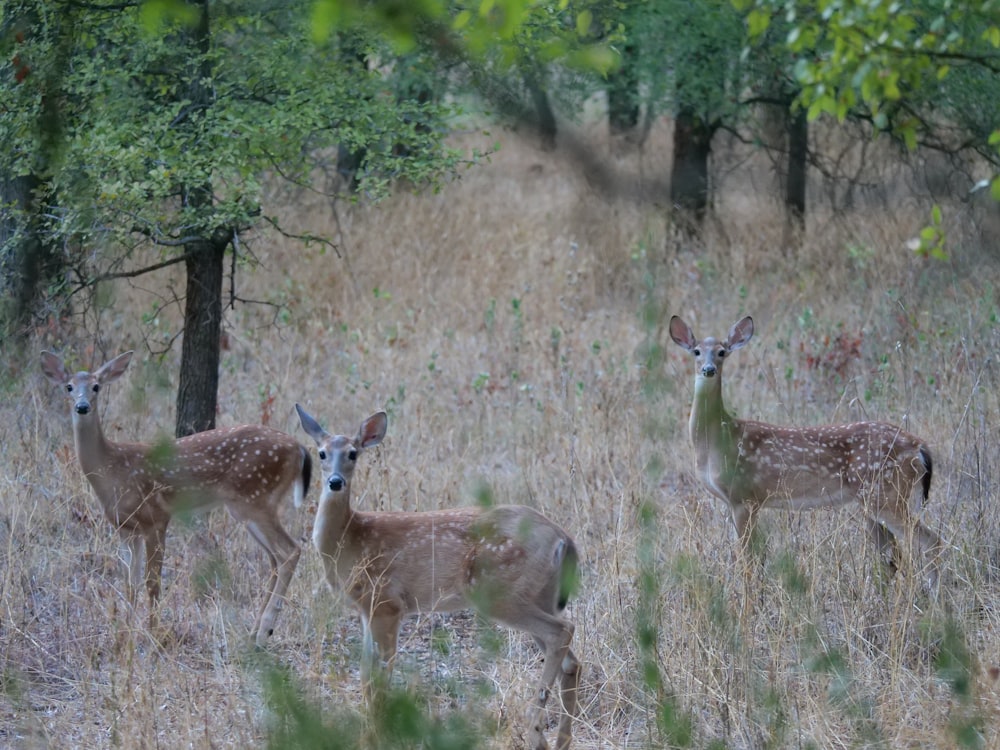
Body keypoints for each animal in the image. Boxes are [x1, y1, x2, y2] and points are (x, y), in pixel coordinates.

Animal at [41, 352, 310, 648]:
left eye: (96, 386)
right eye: (69, 387)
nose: (82, 406)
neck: (113, 470)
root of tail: (299, 449)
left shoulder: (156, 517)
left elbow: (152, 581)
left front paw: (152, 633)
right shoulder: (125, 529)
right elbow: (130, 583)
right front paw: (125, 634)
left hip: (255, 498)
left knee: (290, 551)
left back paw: (264, 632)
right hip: (248, 507)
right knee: (275, 559)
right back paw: (254, 632)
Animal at [292, 406, 584, 750]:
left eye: (353, 453)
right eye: (322, 453)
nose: (335, 482)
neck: (350, 539)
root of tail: (563, 539)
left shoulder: (388, 602)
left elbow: (379, 677)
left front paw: (377, 735)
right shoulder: (366, 608)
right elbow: (365, 675)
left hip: (498, 590)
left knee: (562, 631)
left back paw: (535, 729)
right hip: (542, 595)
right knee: (570, 658)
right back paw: (559, 740)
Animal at [668, 314, 940, 584]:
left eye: (722, 352)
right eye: (696, 351)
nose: (708, 369)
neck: (717, 439)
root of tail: (920, 448)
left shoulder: (744, 496)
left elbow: (748, 560)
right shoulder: (741, 501)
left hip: (886, 493)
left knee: (929, 541)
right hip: (874, 502)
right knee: (893, 558)